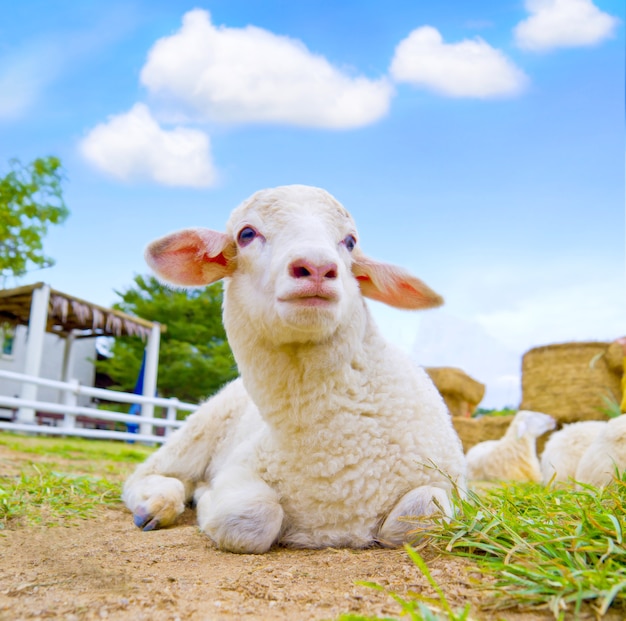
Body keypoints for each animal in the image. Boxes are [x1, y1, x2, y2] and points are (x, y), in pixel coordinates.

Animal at [122, 184, 466, 552]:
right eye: (246, 234)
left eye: (350, 241)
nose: (316, 267)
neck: (336, 464)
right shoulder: (240, 467)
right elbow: (251, 516)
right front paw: (207, 500)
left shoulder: (450, 486)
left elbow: (421, 513)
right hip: (195, 434)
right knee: (146, 475)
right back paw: (154, 505)